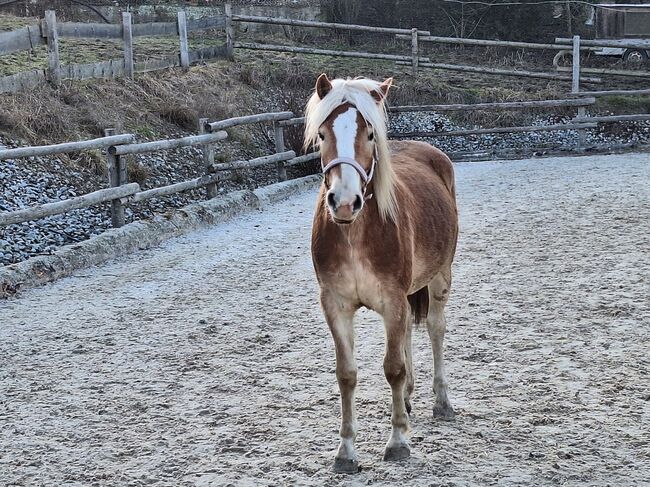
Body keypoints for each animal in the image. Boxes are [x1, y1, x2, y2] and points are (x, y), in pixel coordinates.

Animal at [306, 75, 458, 472]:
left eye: (371, 134)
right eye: (322, 134)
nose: (345, 202)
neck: (354, 233)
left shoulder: (393, 299)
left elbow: (393, 368)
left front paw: (398, 442)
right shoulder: (336, 305)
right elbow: (347, 373)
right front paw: (345, 451)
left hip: (440, 277)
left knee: (435, 330)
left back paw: (442, 402)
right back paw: (407, 399)